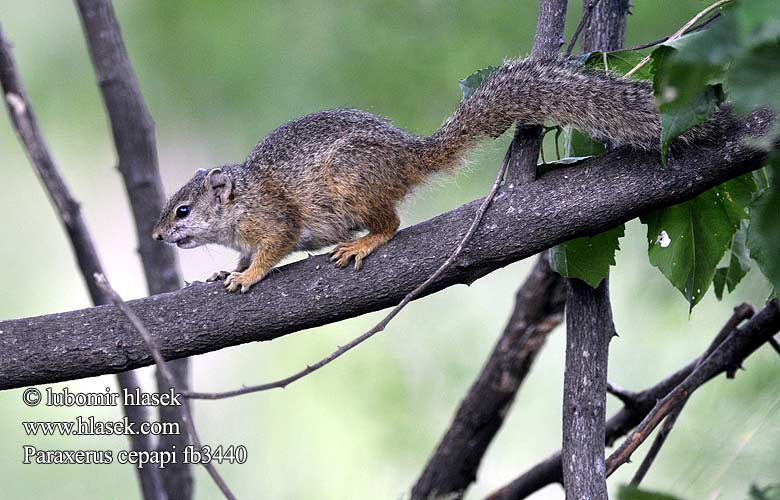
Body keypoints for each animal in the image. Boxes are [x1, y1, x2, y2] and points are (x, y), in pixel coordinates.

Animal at [152, 57, 664, 292]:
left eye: (183, 210)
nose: (156, 236)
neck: (242, 202)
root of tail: (412, 155)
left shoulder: (276, 218)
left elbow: (276, 245)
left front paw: (249, 275)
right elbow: (242, 254)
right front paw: (228, 270)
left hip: (351, 179)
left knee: (391, 223)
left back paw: (363, 243)